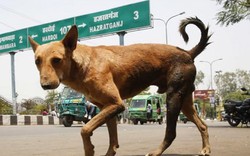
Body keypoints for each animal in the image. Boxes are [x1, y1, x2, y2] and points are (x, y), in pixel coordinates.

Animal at [28, 16, 211, 155]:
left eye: (57, 60)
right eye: (37, 61)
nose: (45, 85)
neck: (82, 65)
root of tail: (188, 53)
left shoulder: (116, 104)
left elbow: (85, 129)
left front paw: (90, 149)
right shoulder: (107, 107)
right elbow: (113, 140)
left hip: (173, 98)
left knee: (171, 132)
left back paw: (156, 152)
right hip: (185, 101)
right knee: (202, 125)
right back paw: (206, 149)